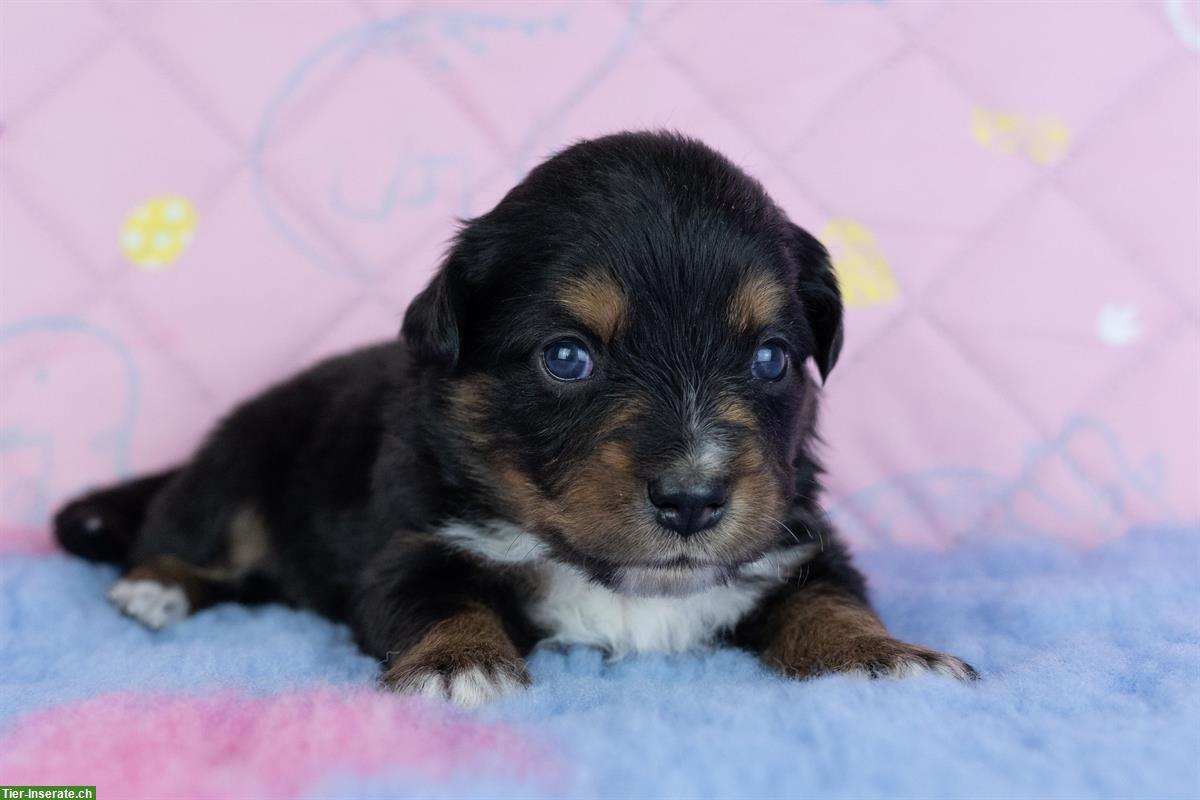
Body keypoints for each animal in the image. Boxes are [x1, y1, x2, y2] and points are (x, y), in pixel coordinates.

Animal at [56, 131, 974, 705]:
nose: (692, 500)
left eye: (771, 358)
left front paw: (889, 659)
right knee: (184, 537)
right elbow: (440, 603)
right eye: (567, 358)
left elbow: (831, 602)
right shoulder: (412, 547)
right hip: (239, 464)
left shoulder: (796, 543)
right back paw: (153, 589)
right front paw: (458, 669)